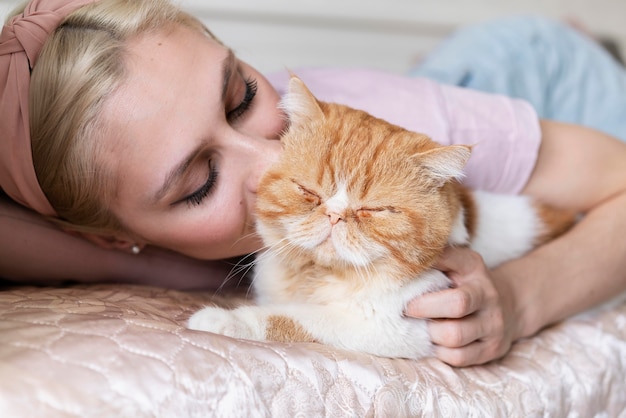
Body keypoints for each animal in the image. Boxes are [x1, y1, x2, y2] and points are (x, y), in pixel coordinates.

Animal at [186, 75, 576, 360]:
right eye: (309, 192)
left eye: (373, 210)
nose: (334, 215)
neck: (314, 277)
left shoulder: (395, 329)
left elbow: (291, 318)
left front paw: (223, 319)